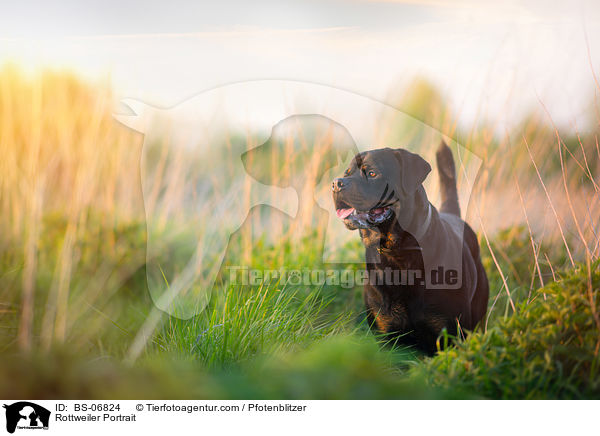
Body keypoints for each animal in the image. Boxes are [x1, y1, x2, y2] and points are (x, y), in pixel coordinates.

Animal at [332, 143, 488, 354]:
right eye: (346, 174)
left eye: (372, 173)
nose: (336, 183)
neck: (398, 252)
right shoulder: (386, 333)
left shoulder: (449, 333)